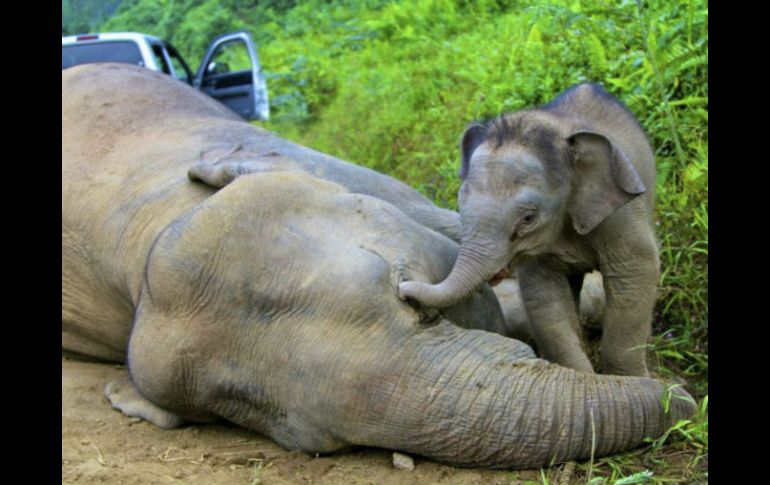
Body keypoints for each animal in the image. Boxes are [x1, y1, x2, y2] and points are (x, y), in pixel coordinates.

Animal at [400, 85, 656, 376]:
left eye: (528, 218)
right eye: (459, 203)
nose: (403, 289)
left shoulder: (622, 212)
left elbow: (635, 276)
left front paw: (631, 379)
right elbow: (544, 296)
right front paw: (581, 376)